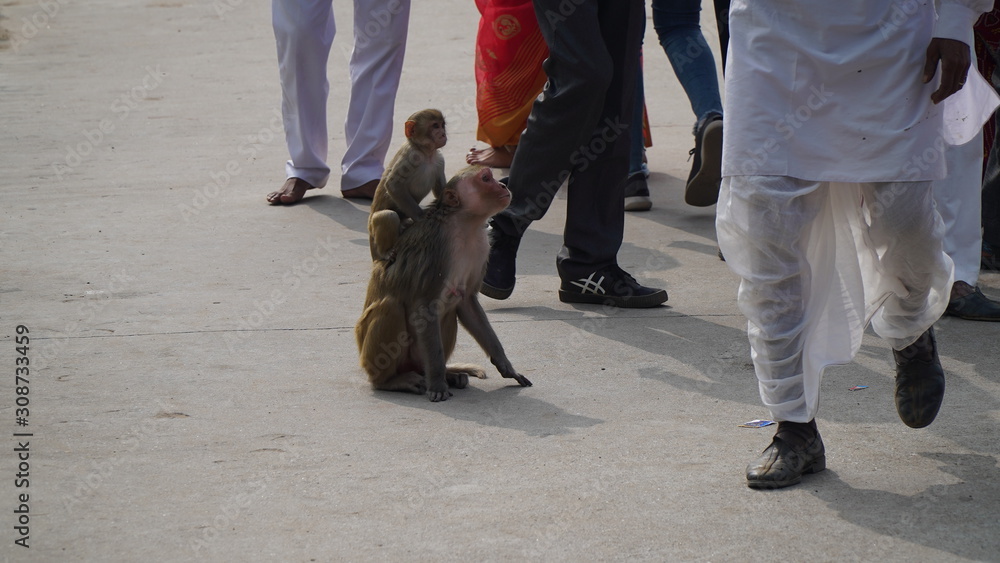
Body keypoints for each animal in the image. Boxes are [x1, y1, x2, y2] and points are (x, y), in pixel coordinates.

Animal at [355, 164, 533, 401]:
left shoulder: (481, 247)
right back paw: (391, 381)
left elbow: (466, 302)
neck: (464, 225)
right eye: (486, 179)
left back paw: (449, 375)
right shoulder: (438, 248)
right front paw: (438, 383)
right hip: (370, 355)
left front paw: (506, 365)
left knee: (450, 310)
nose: (503, 186)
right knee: (391, 307)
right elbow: (425, 307)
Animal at [368, 109, 448, 260]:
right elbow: (393, 185)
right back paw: (385, 252)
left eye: (442, 125)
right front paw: (421, 215)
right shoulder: (410, 157)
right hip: (373, 235)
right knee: (388, 216)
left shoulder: (440, 160)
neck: (425, 153)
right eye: (435, 126)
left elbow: (440, 189)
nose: (443, 134)